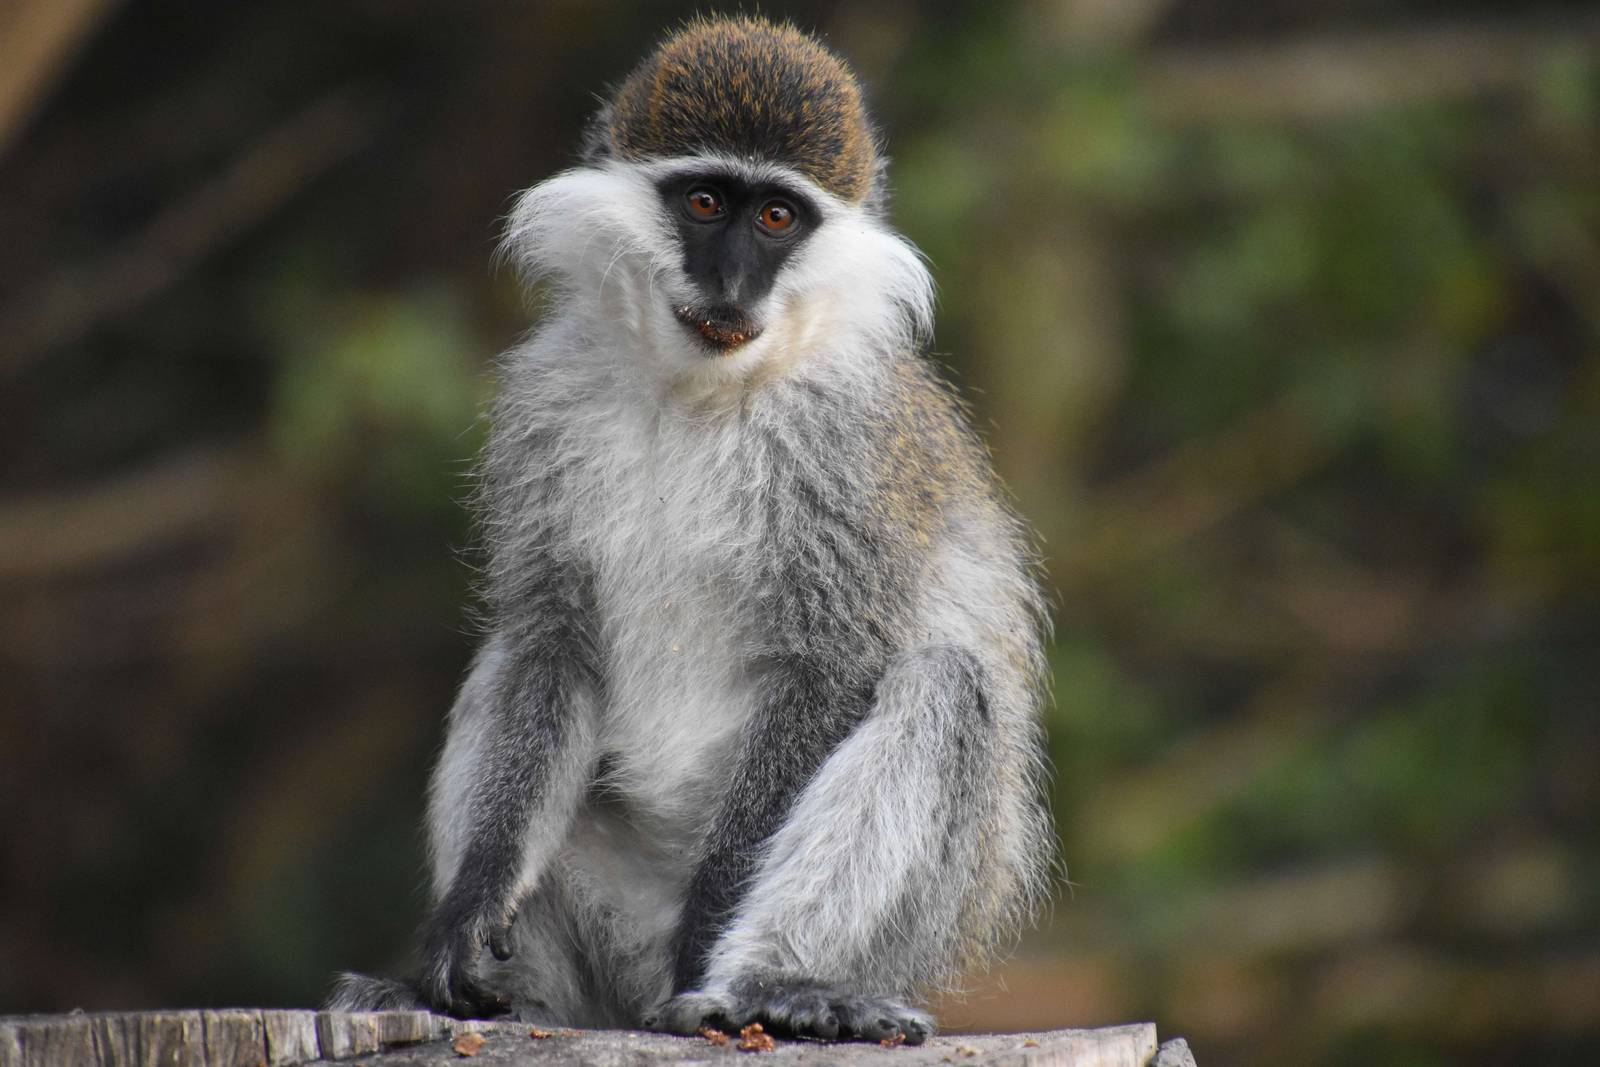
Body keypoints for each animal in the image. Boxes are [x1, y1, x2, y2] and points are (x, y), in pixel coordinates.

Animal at [326, 16, 1053, 1046]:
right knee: (510, 657)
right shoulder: (541, 410)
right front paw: (464, 919)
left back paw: (779, 985)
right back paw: (505, 996)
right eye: (706, 202)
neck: (699, 394)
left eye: (778, 218)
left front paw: (728, 937)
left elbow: (831, 666)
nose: (733, 283)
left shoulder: (849, 444)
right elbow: (553, 643)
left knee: (948, 688)